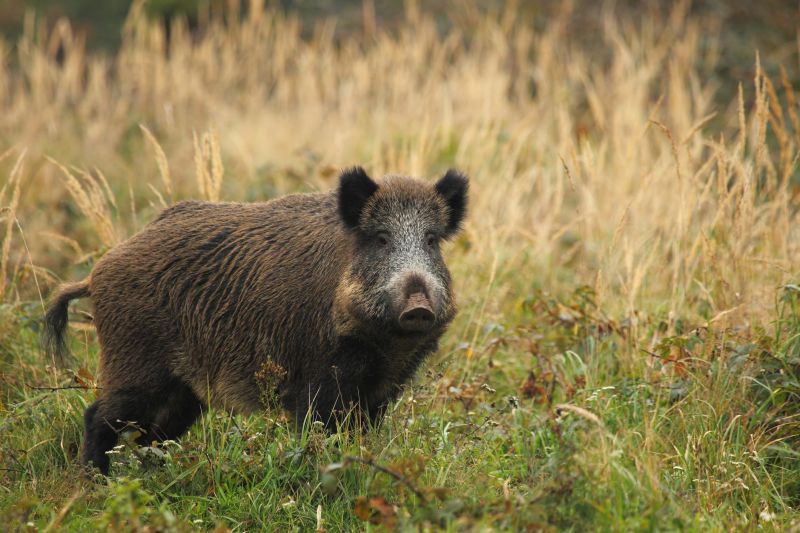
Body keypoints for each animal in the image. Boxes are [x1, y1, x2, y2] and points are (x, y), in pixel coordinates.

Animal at [43, 167, 468, 474]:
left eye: (431, 240)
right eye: (381, 239)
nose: (418, 306)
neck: (383, 344)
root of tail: (96, 273)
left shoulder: (381, 391)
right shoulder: (317, 379)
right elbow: (319, 432)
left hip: (184, 391)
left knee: (152, 435)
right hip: (135, 365)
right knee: (98, 417)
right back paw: (96, 480)